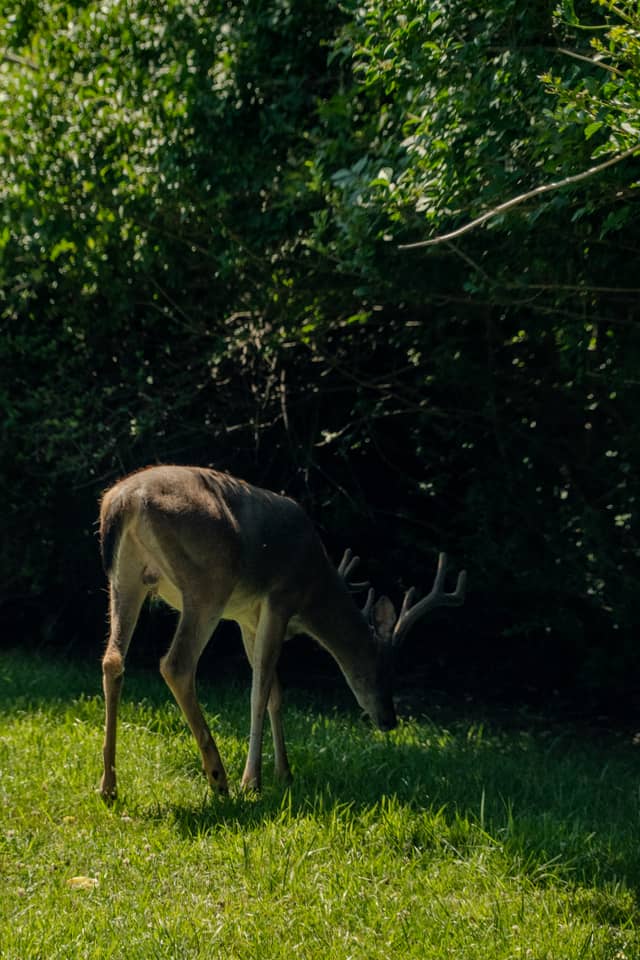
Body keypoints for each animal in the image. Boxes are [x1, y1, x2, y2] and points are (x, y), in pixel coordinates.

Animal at [98, 464, 466, 798]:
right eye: (384, 670)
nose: (389, 720)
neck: (314, 587)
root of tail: (127, 500)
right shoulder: (280, 597)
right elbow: (260, 688)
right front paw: (253, 781)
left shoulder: (247, 617)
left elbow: (276, 691)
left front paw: (284, 772)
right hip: (209, 581)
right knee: (176, 664)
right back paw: (219, 778)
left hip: (126, 576)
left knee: (113, 659)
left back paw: (108, 785)